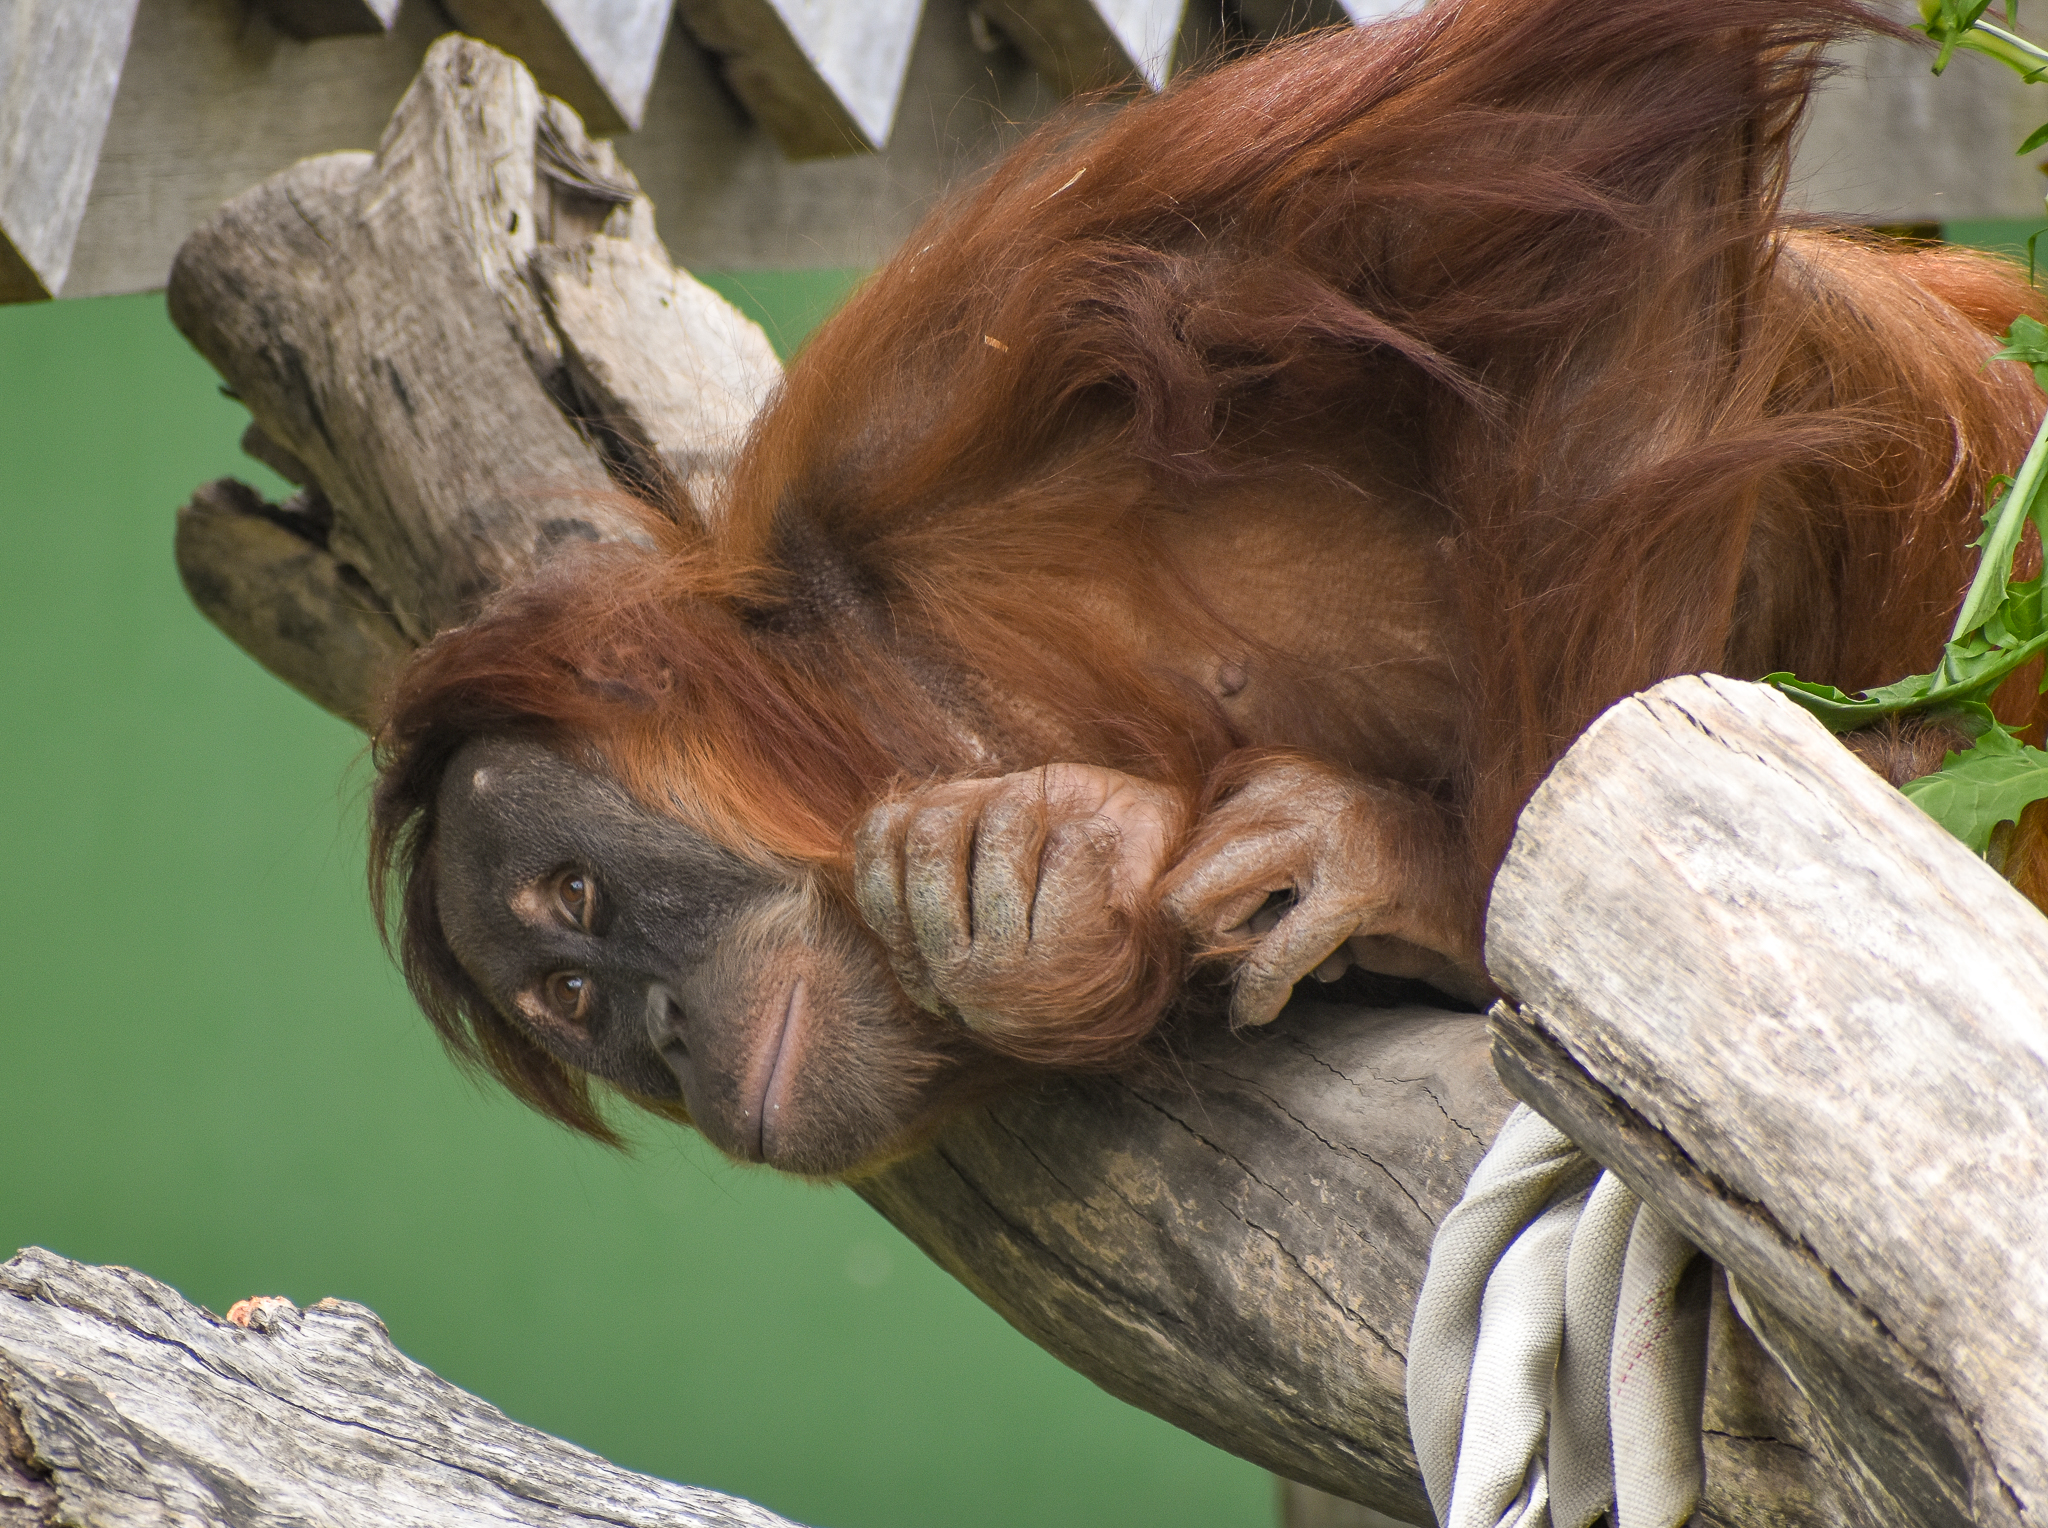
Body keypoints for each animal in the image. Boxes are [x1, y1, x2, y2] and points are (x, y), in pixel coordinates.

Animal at [370, 0, 2048, 1178]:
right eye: (567, 999)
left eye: (580, 898)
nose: (663, 1030)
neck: (926, 683)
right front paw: (1027, 918)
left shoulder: (943, 351)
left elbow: (1603, 117)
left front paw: (1444, 878)